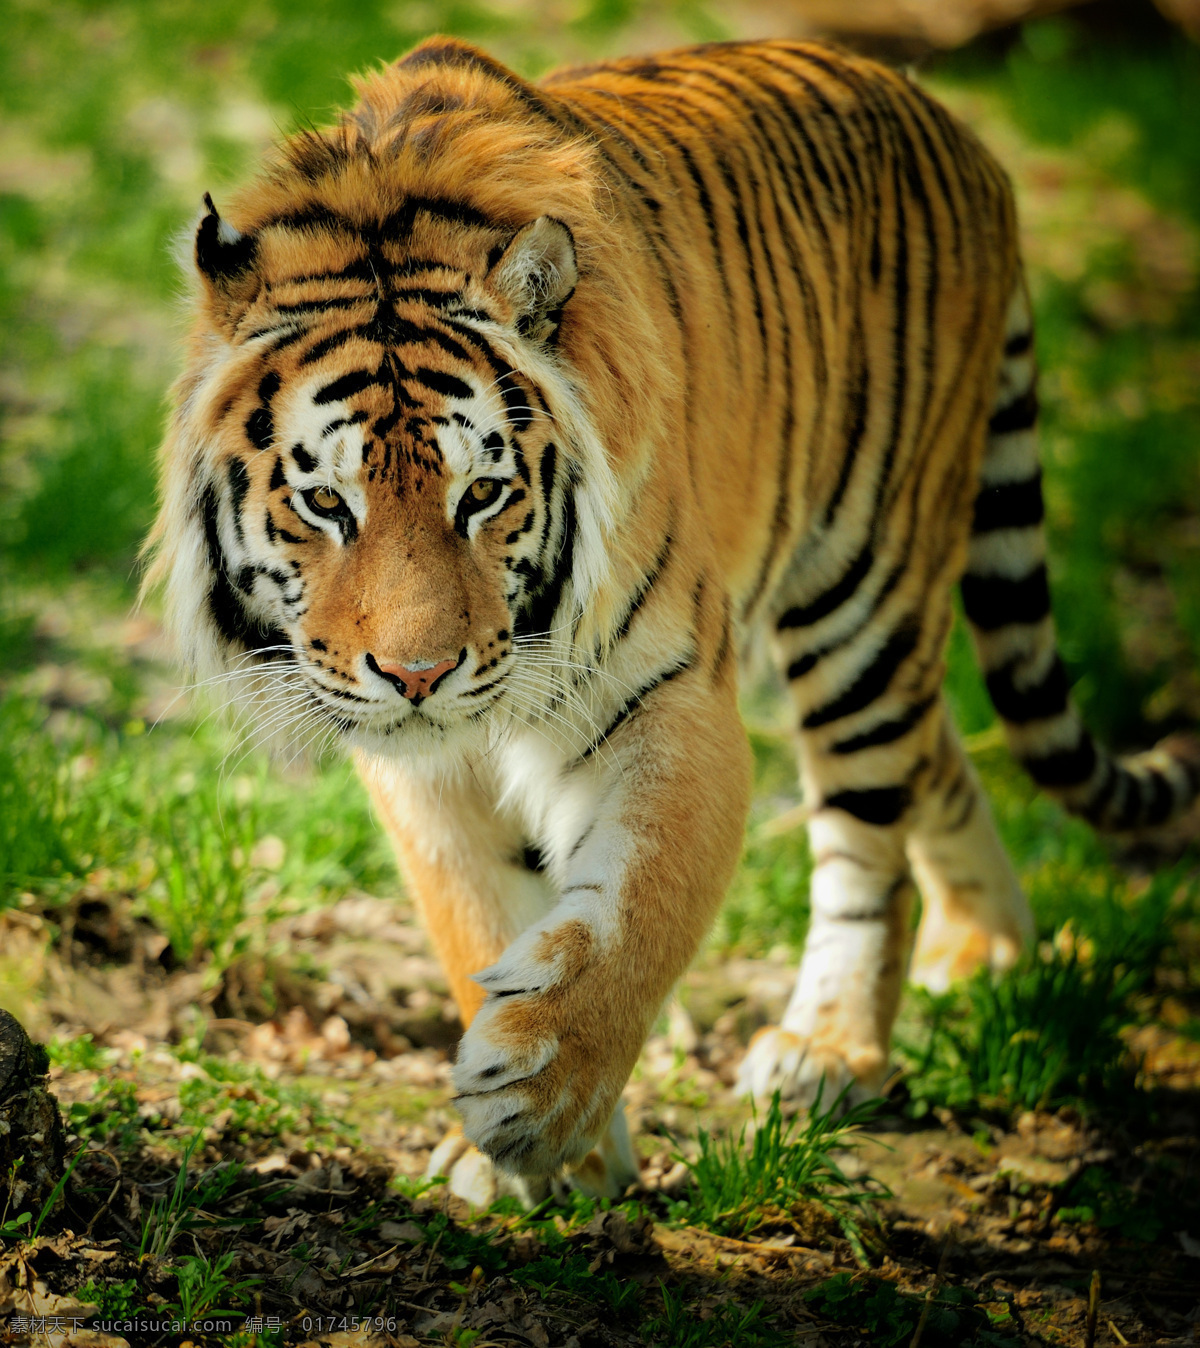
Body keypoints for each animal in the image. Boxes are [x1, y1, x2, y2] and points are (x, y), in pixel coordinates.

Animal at [144, 31, 1191, 1202]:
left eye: (482, 495)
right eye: (326, 502)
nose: (420, 675)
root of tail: (956, 128)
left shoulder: (670, 693)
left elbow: (640, 905)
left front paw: (540, 1098)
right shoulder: (421, 766)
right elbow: (479, 911)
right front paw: (530, 1152)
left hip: (866, 592)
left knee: (872, 825)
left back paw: (833, 1047)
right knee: (938, 752)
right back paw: (988, 948)